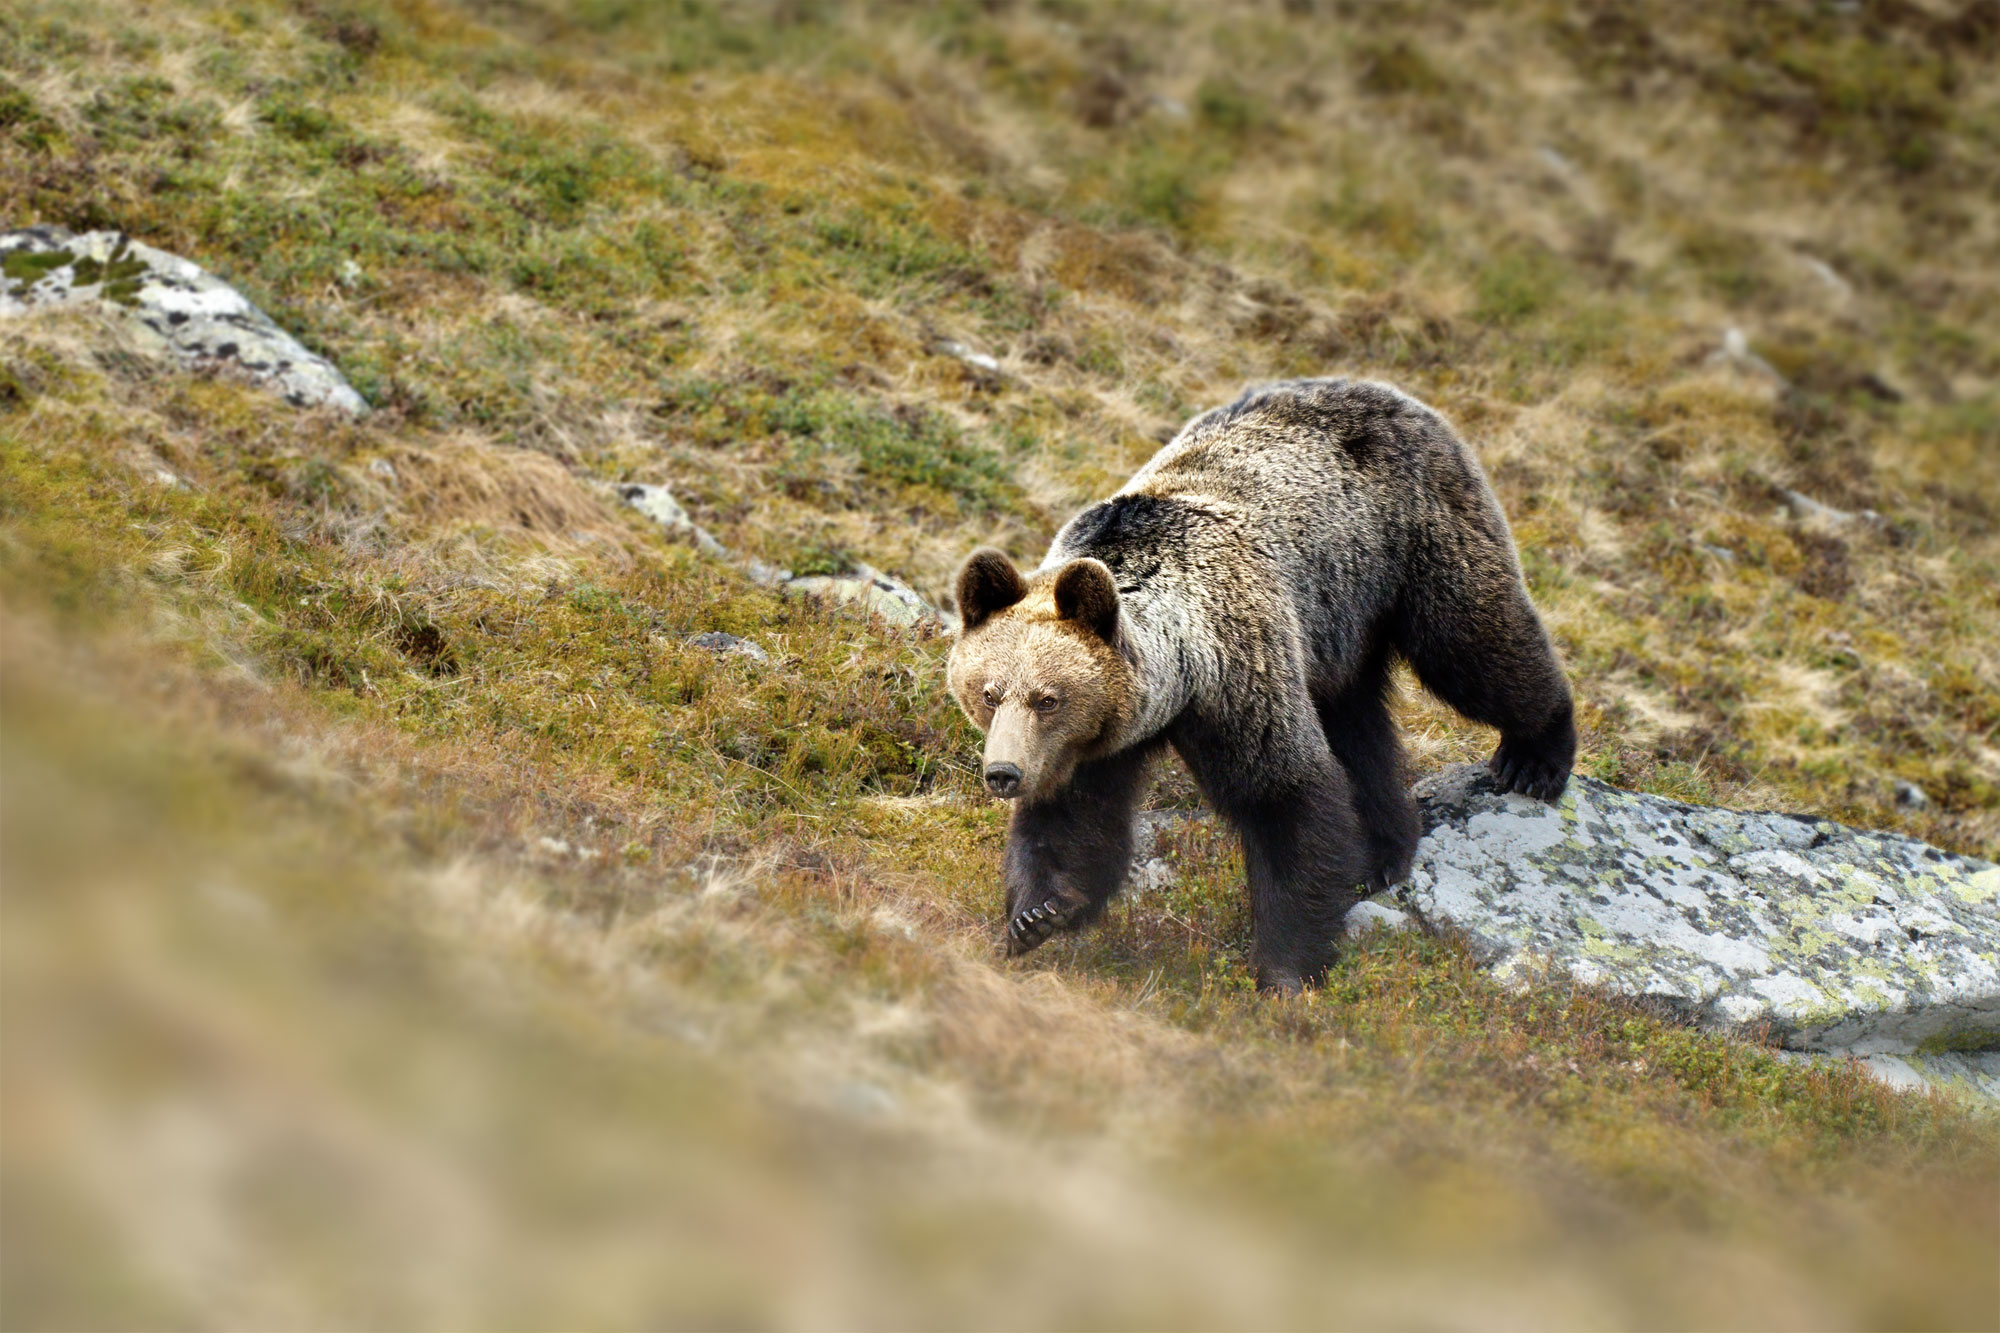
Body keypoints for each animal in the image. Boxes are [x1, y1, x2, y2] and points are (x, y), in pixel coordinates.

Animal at [944, 374, 1568, 984]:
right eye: (989, 693)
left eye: (1048, 699)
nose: (1003, 773)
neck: (1177, 682)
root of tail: (1392, 390)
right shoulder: (1093, 742)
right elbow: (1073, 816)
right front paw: (1038, 914)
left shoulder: (1237, 670)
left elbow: (1288, 795)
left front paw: (1285, 967)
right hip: (1335, 629)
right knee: (1358, 726)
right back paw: (1383, 851)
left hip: (1412, 544)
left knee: (1475, 649)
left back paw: (1535, 757)